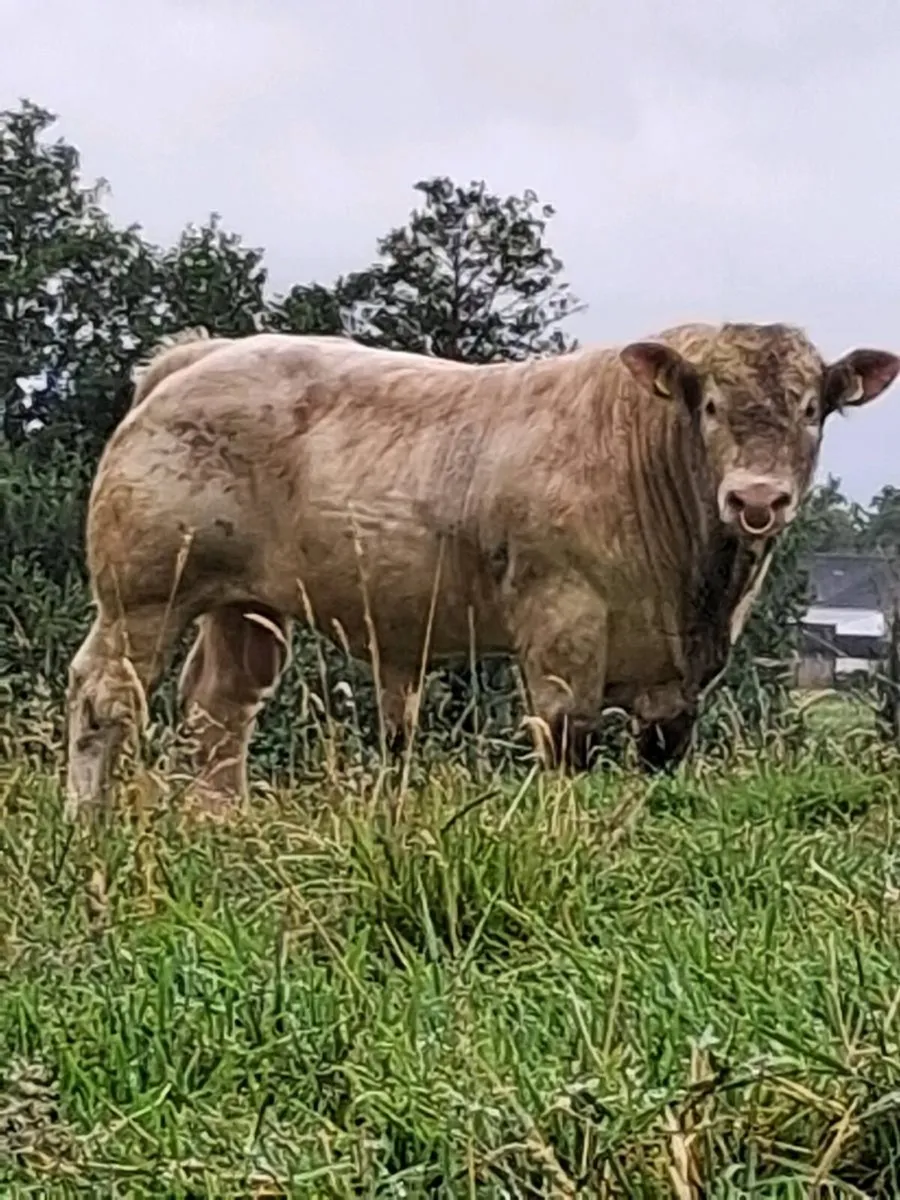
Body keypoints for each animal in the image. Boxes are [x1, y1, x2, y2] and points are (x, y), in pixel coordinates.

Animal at [63, 323, 899, 818]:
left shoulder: (677, 681)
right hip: (140, 592)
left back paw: (222, 826)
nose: (757, 498)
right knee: (105, 696)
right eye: (713, 407)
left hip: (245, 605)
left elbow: (658, 759)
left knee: (221, 708)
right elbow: (567, 743)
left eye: (811, 409)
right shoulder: (562, 623)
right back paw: (87, 824)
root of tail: (200, 355)